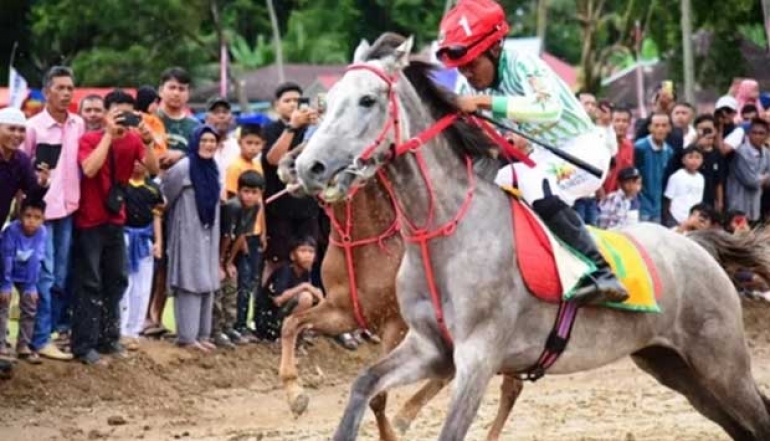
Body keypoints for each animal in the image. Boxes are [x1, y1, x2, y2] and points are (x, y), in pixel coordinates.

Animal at [277, 149, 524, 441]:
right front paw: (295, 395)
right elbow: (291, 323)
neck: (364, 246)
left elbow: (378, 397)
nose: (289, 166)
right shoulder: (342, 312)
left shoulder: (396, 325)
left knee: (507, 388)